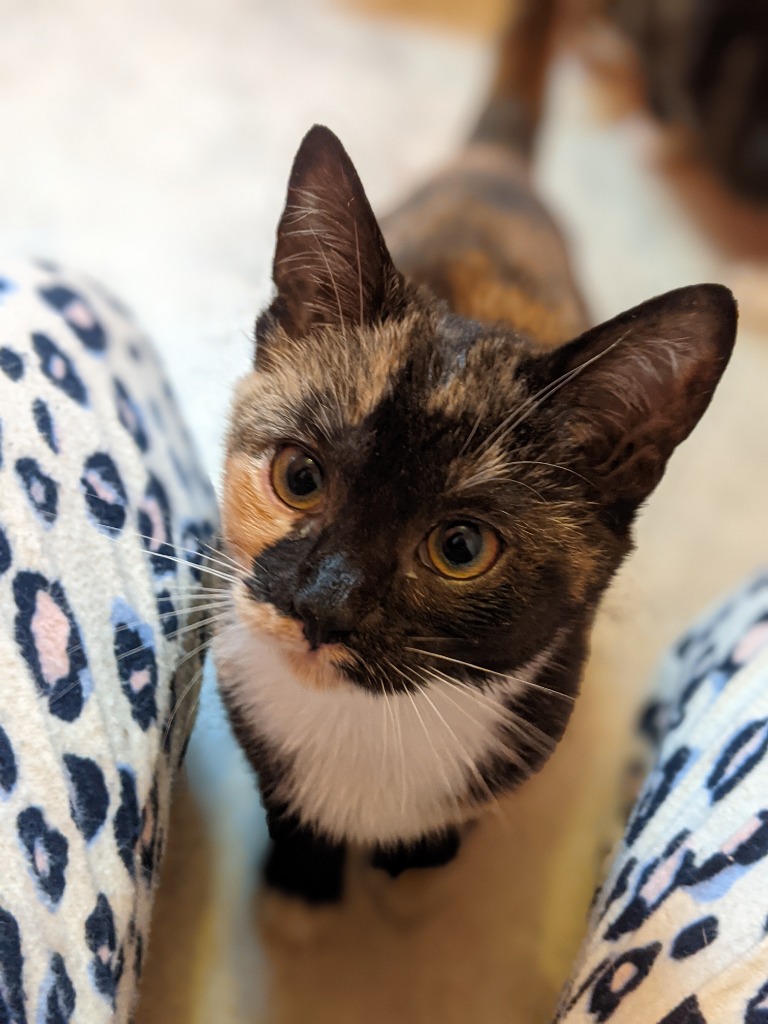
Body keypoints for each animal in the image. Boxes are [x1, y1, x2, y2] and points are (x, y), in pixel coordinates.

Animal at [212, 1, 737, 904]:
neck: (369, 721)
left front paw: (418, 861)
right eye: (299, 476)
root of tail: (492, 166)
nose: (321, 606)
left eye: (461, 548)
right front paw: (303, 878)